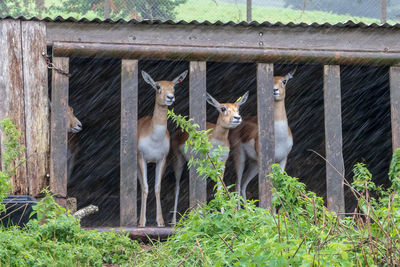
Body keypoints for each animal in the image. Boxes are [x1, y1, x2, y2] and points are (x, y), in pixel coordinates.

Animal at [138, 69, 188, 228]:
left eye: (173, 86)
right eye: (158, 86)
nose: (170, 97)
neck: (154, 139)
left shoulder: (162, 159)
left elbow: (157, 187)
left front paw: (160, 222)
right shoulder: (142, 158)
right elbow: (146, 187)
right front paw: (142, 222)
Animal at [170, 91, 248, 225]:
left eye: (237, 108)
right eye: (223, 108)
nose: (237, 118)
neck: (217, 140)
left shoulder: (221, 165)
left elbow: (220, 190)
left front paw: (223, 215)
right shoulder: (203, 164)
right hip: (178, 161)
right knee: (177, 187)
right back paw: (174, 221)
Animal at [228, 69, 296, 201]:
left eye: (284, 81)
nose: (274, 90)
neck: (280, 138)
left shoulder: (283, 159)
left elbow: (279, 188)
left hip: (254, 164)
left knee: (244, 184)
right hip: (240, 157)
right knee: (237, 185)